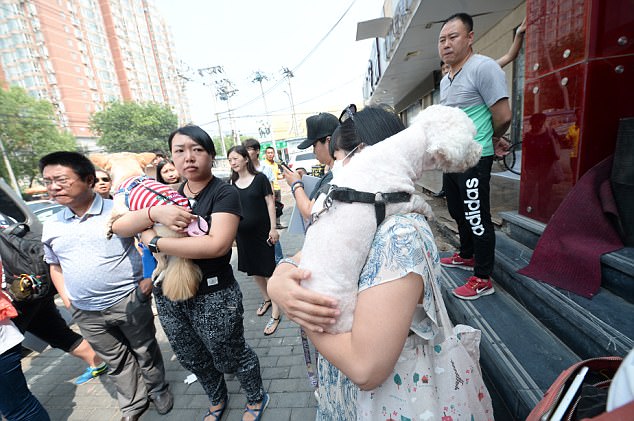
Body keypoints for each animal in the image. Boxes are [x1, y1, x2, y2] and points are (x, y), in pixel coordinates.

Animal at [88, 153, 200, 300]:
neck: (131, 175)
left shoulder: (122, 210)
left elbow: (111, 216)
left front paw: (108, 229)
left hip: (156, 243)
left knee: (163, 263)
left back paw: (155, 273)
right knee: (167, 265)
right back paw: (159, 278)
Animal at [298, 104, 476, 332]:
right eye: (471, 141)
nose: (481, 150)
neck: (398, 152)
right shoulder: (396, 200)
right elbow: (418, 201)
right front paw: (428, 212)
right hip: (344, 315)